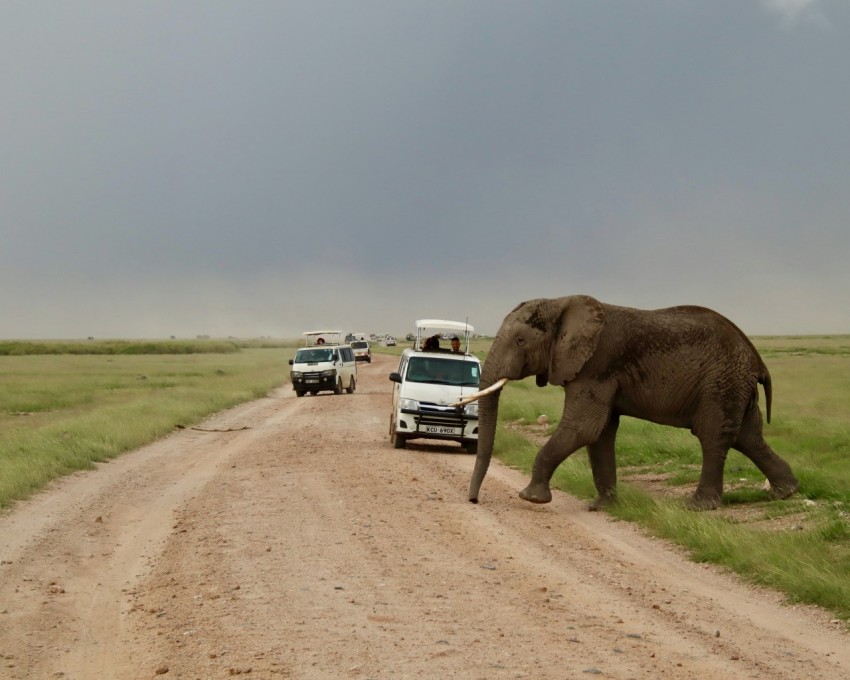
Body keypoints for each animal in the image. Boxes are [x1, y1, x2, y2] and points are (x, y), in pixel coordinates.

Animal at [458, 294, 796, 510]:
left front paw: (531, 498)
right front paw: (602, 506)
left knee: (714, 437)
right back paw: (785, 493)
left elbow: (584, 427)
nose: (474, 501)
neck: (561, 303)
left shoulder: (597, 364)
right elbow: (600, 432)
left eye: (520, 341)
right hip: (735, 386)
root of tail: (756, 358)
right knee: (748, 437)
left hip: (721, 383)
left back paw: (699, 507)